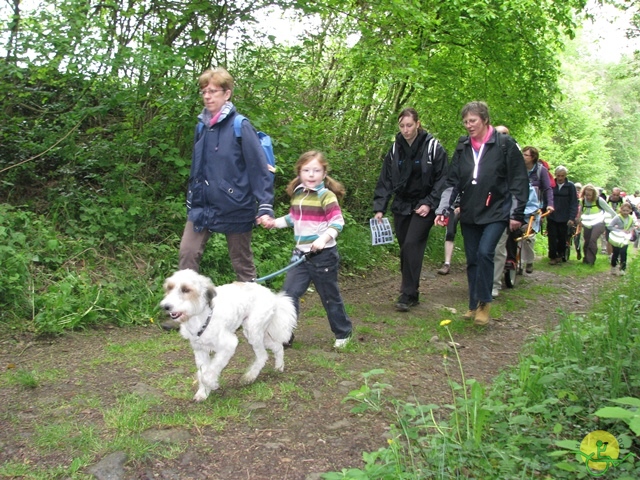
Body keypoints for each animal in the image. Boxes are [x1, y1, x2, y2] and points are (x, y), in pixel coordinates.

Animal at [162, 270, 298, 402]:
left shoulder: (228, 345)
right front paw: (203, 393)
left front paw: (212, 384)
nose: (165, 306)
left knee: (263, 356)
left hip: (253, 332)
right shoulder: (200, 350)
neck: (201, 317)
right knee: (278, 346)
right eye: (169, 288)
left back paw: (250, 377)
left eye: (186, 289)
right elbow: (202, 373)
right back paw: (279, 366)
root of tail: (273, 296)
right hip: (258, 334)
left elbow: (208, 373)